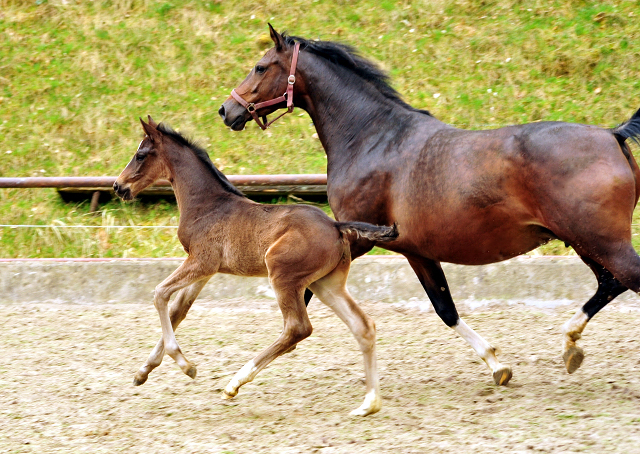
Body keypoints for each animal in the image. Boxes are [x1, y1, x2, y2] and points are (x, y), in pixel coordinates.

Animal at [112, 116, 398, 414]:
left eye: (141, 155)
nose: (118, 186)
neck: (208, 205)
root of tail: (335, 225)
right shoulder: (205, 271)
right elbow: (178, 309)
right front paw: (143, 372)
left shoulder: (201, 261)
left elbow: (159, 294)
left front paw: (185, 365)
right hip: (326, 283)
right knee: (363, 326)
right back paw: (369, 403)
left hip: (283, 275)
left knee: (297, 328)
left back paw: (234, 383)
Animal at [219, 25, 640, 386]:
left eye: (260, 66)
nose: (227, 110)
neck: (373, 138)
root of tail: (612, 135)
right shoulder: (414, 250)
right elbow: (445, 309)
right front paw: (497, 365)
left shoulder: (354, 235)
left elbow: (300, 301)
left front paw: (239, 378)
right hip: (587, 242)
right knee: (610, 283)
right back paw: (570, 344)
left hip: (602, 241)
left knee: (623, 280)